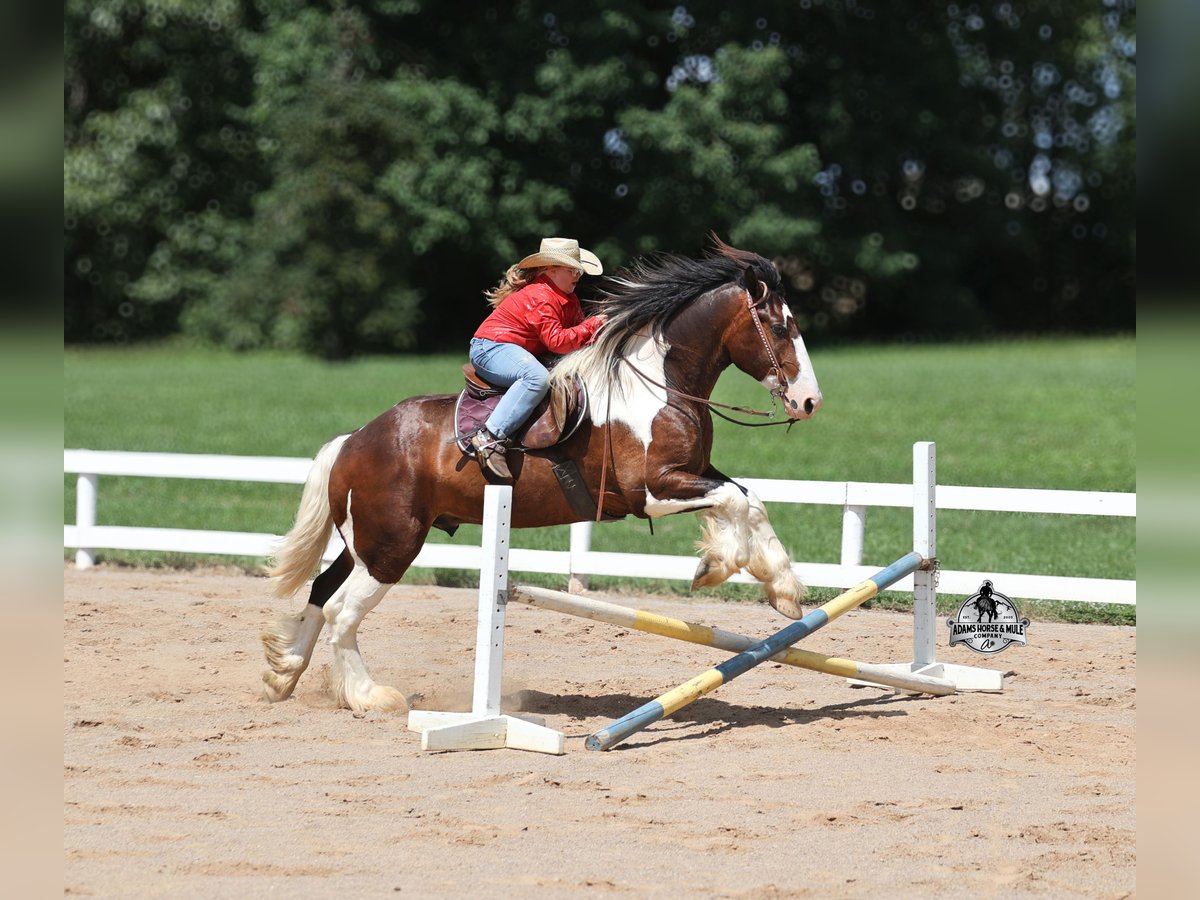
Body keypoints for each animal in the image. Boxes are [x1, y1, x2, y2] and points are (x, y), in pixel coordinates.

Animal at [261, 237, 823, 713]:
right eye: (781, 328)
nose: (809, 403)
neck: (660, 385)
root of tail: (352, 440)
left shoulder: (695, 471)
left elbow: (751, 500)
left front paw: (781, 589)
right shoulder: (654, 489)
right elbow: (735, 501)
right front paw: (718, 567)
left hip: (364, 543)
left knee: (320, 592)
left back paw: (283, 676)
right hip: (391, 547)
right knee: (341, 612)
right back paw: (370, 697)